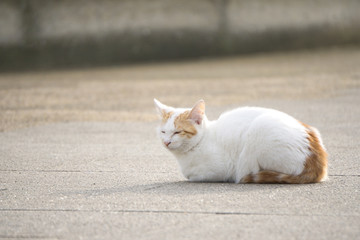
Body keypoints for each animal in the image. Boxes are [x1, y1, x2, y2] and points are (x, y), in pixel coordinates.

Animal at [153, 98, 328, 184]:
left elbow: (194, 176)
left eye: (177, 132)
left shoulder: (220, 169)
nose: (166, 142)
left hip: (259, 132)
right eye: (163, 132)